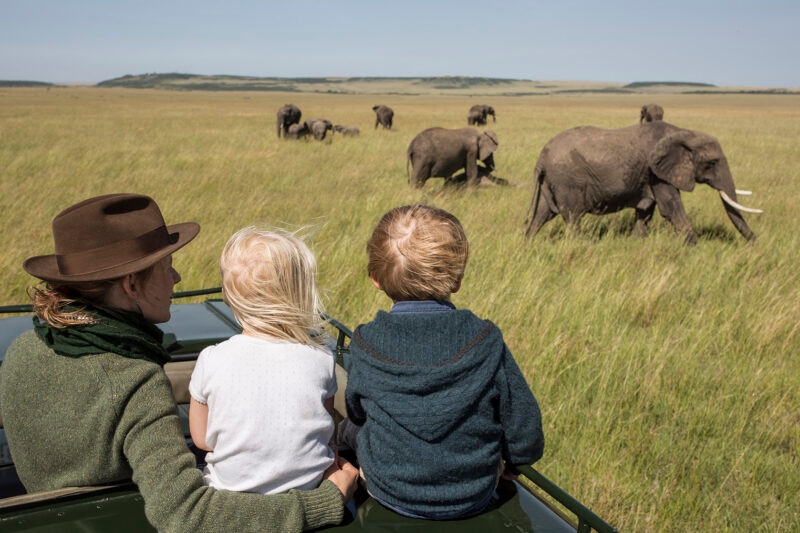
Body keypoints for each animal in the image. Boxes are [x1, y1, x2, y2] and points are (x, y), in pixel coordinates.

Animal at [524, 121, 762, 244]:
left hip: (552, 181)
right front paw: (693, 248)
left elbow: (646, 211)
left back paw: (528, 243)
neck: (683, 133)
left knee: (542, 215)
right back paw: (578, 245)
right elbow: (671, 208)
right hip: (567, 180)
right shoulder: (657, 172)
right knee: (572, 217)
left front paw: (636, 243)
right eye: (711, 163)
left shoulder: (651, 176)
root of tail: (541, 157)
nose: (756, 243)